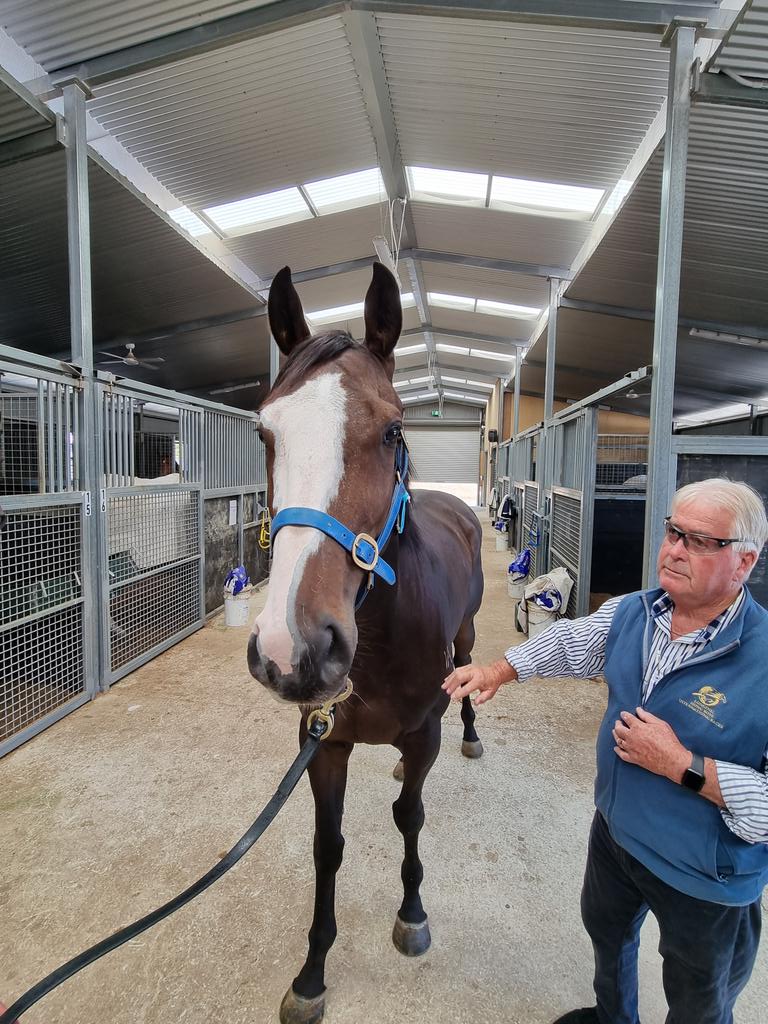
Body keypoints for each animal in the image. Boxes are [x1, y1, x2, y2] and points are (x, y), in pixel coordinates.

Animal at [247, 262, 485, 1024]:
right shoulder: (322, 742)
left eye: (391, 430)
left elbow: (410, 815)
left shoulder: (422, 732)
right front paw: (312, 972)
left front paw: (412, 915)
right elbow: (328, 846)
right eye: (265, 433)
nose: (292, 648)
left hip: (468, 640)